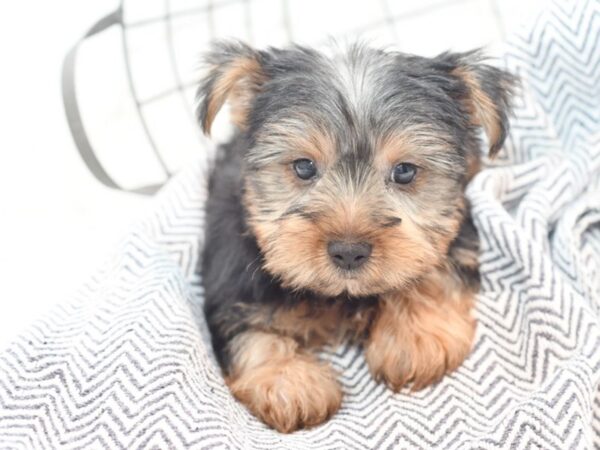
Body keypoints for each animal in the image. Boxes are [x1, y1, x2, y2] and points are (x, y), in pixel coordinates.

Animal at [198, 41, 516, 432]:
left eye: (405, 171)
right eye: (303, 166)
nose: (348, 251)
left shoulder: (454, 223)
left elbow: (435, 265)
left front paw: (414, 335)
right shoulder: (229, 272)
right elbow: (246, 330)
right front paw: (288, 379)